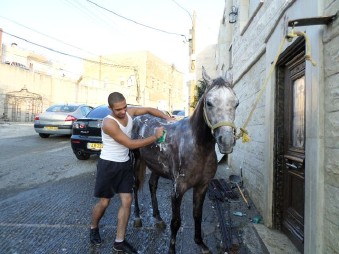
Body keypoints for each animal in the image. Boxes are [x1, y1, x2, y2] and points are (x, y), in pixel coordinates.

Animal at [131, 67, 238, 254]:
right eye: (209, 103)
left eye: (236, 103)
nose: (226, 141)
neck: (197, 147)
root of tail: (139, 117)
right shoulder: (177, 190)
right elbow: (176, 221)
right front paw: (171, 250)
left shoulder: (202, 187)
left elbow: (197, 215)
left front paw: (201, 243)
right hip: (137, 160)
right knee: (136, 186)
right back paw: (137, 218)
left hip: (156, 166)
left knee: (152, 186)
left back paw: (158, 219)